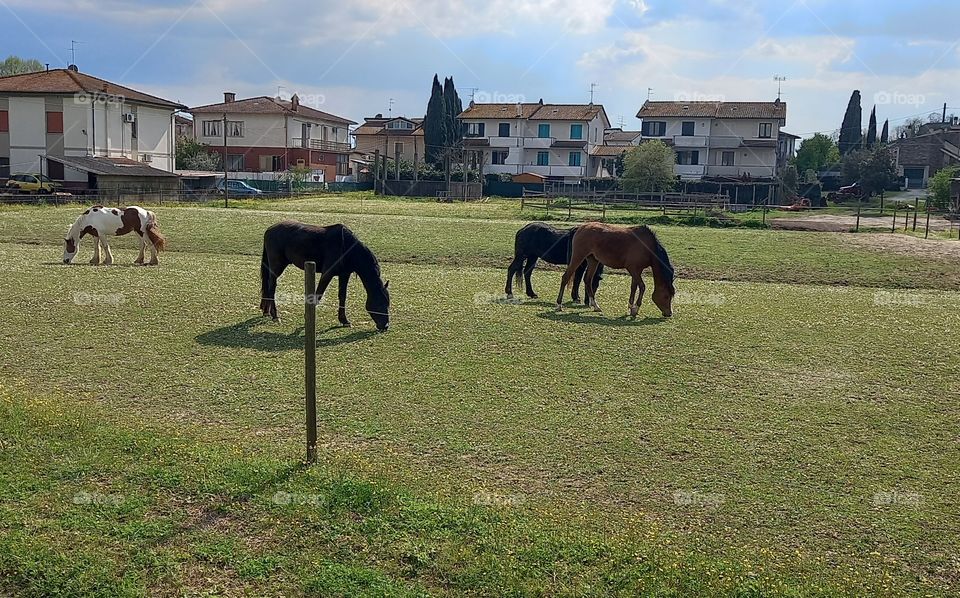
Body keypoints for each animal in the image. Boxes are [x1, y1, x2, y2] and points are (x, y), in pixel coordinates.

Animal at [260, 221, 391, 331]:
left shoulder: (344, 275)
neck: (345, 247)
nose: (385, 326)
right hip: (276, 267)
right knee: (271, 287)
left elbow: (342, 296)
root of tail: (269, 229)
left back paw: (267, 312)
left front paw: (344, 320)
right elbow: (317, 296)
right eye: (381, 303)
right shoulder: (327, 274)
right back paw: (275, 316)